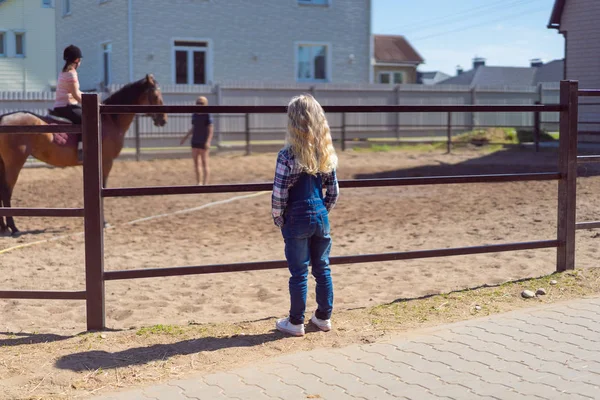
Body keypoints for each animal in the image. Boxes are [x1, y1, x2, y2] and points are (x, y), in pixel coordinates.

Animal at [0, 74, 166, 236]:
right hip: (14, 163)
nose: (163, 119)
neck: (108, 119)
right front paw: (104, 222)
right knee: (6, 192)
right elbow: (102, 187)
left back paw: (4, 228)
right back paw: (13, 227)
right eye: (155, 95)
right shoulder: (106, 162)